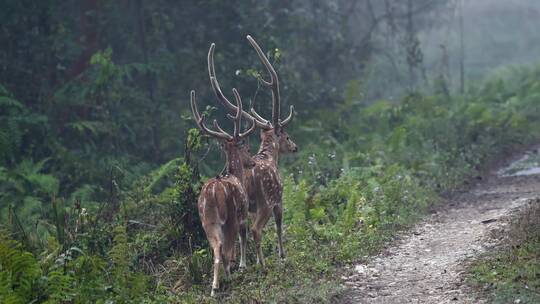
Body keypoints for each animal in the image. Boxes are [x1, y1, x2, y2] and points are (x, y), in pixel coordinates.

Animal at [189, 86, 256, 296]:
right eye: (247, 149)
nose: (252, 162)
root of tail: (212, 194)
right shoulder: (242, 214)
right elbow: (243, 238)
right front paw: (241, 266)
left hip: (207, 221)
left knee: (216, 248)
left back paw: (214, 286)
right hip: (230, 217)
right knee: (224, 248)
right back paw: (226, 278)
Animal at [208, 35, 300, 266]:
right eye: (286, 135)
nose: (295, 147)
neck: (268, 157)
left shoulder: (249, 209)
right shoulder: (278, 198)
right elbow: (279, 225)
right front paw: (282, 255)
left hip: (244, 207)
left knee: (243, 231)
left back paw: (242, 263)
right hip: (265, 200)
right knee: (257, 230)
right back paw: (264, 264)